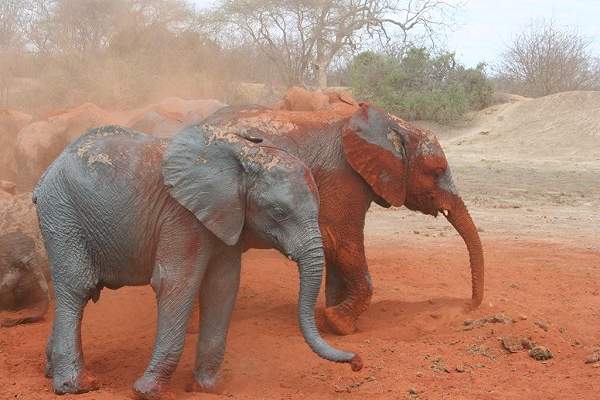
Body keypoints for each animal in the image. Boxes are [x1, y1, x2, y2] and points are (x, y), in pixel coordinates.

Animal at [34, 124, 360, 396]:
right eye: (279, 212)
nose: (357, 361)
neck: (244, 155)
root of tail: (46, 173)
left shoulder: (226, 218)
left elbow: (222, 287)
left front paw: (207, 387)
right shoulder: (181, 216)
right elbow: (176, 284)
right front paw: (146, 391)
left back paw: (50, 372)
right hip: (61, 213)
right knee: (78, 286)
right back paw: (75, 386)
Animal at [204, 100, 486, 334]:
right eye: (436, 171)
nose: (466, 307)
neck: (390, 126)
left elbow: (334, 248)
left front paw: (331, 316)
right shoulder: (342, 177)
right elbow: (341, 242)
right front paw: (340, 324)